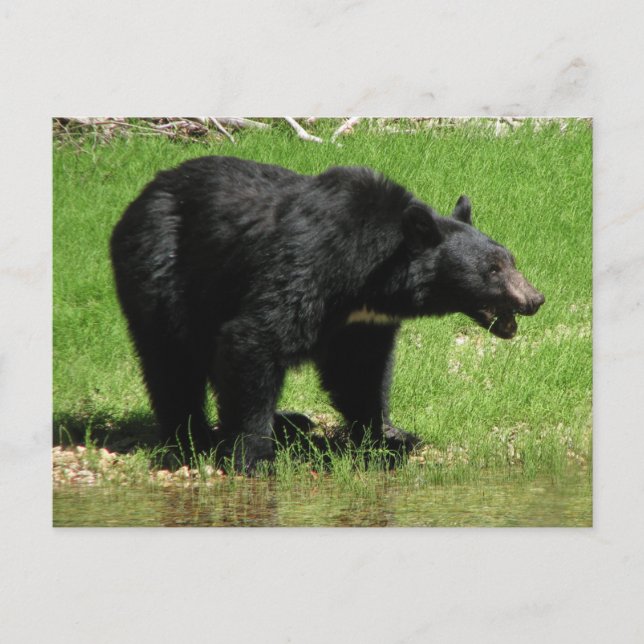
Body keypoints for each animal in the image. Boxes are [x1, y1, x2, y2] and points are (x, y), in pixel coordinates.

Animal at [110, 156, 544, 470]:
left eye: (510, 259)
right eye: (492, 269)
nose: (535, 298)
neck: (367, 275)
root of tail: (139, 198)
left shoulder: (363, 322)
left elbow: (360, 372)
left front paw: (386, 437)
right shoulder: (306, 268)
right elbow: (255, 337)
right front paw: (254, 455)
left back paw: (289, 422)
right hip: (163, 273)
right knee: (170, 360)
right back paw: (189, 440)